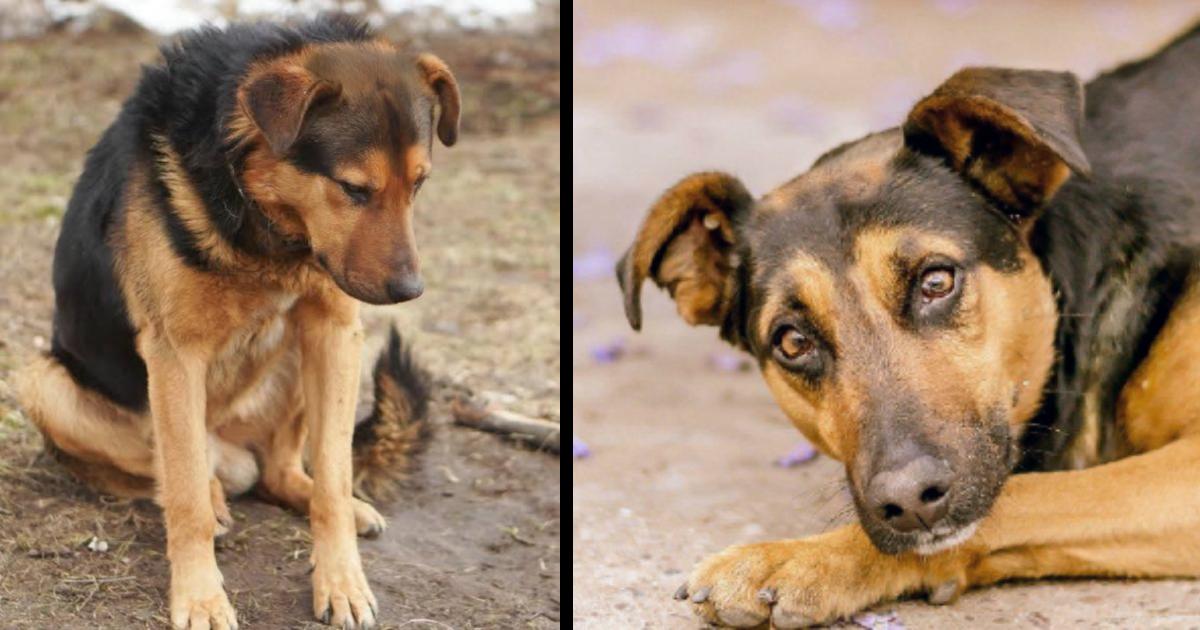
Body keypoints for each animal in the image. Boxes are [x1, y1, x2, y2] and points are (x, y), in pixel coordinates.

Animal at [14, 14, 458, 628]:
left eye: (419, 184)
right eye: (353, 189)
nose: (410, 292)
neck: (262, 217)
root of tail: (236, 450)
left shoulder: (334, 330)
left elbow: (334, 474)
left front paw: (341, 580)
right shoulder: (175, 353)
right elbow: (184, 499)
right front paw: (201, 597)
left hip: (306, 354)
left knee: (281, 471)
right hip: (42, 381)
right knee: (165, 468)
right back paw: (215, 495)